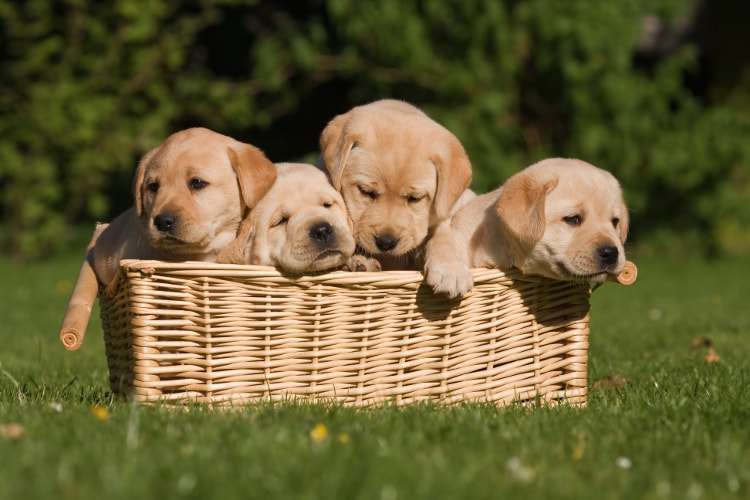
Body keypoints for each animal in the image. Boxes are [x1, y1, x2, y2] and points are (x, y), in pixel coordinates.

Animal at [318, 100, 472, 272]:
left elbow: (440, 233)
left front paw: (449, 267)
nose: (386, 242)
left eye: (414, 198)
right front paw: (359, 262)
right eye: (366, 192)